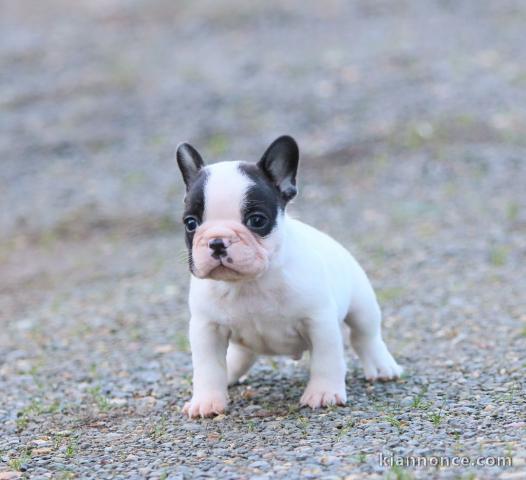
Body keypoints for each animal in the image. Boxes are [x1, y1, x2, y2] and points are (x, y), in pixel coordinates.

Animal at [177, 134, 404, 416]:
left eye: (256, 220)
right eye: (190, 223)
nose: (217, 241)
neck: (249, 284)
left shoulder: (319, 321)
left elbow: (327, 359)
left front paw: (323, 393)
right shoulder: (207, 328)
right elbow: (208, 367)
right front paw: (207, 401)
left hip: (362, 305)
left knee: (365, 335)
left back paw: (382, 367)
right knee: (241, 354)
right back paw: (230, 373)